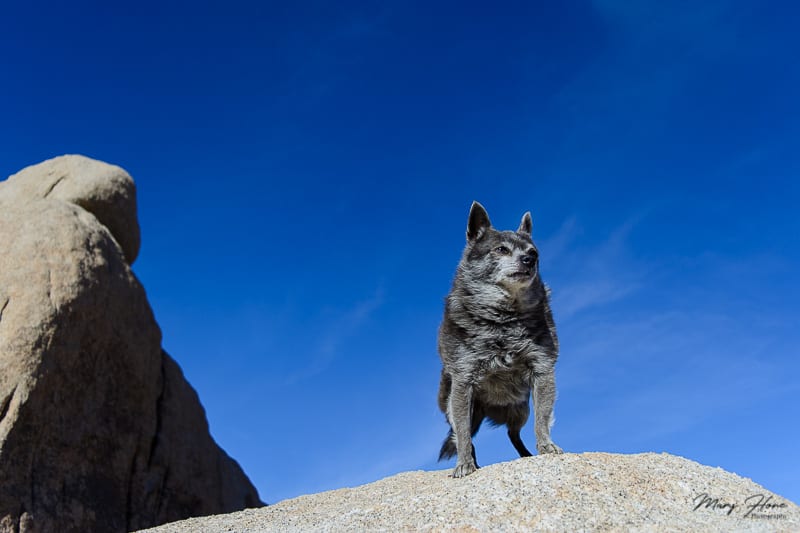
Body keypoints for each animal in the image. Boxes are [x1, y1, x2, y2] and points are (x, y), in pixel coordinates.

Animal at [438, 202, 564, 476]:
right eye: (501, 250)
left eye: (533, 252)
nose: (530, 260)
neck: (504, 317)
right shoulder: (462, 383)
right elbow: (463, 435)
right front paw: (464, 464)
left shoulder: (542, 371)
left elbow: (542, 418)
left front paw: (547, 446)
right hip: (458, 405)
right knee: (461, 434)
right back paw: (473, 460)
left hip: (520, 408)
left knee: (512, 433)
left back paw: (526, 455)